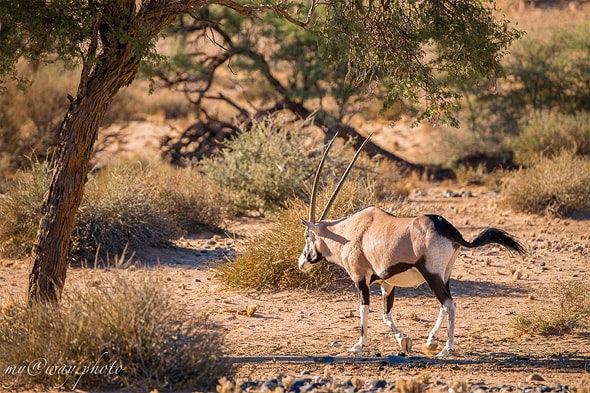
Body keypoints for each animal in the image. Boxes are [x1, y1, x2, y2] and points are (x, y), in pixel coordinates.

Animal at [300, 132, 528, 356]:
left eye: (307, 235)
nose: (302, 262)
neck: (348, 232)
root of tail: (447, 227)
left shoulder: (361, 279)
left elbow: (364, 310)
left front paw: (359, 345)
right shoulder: (387, 283)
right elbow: (386, 315)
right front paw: (404, 341)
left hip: (432, 275)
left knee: (449, 304)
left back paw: (446, 348)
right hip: (444, 275)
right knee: (445, 305)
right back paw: (431, 340)